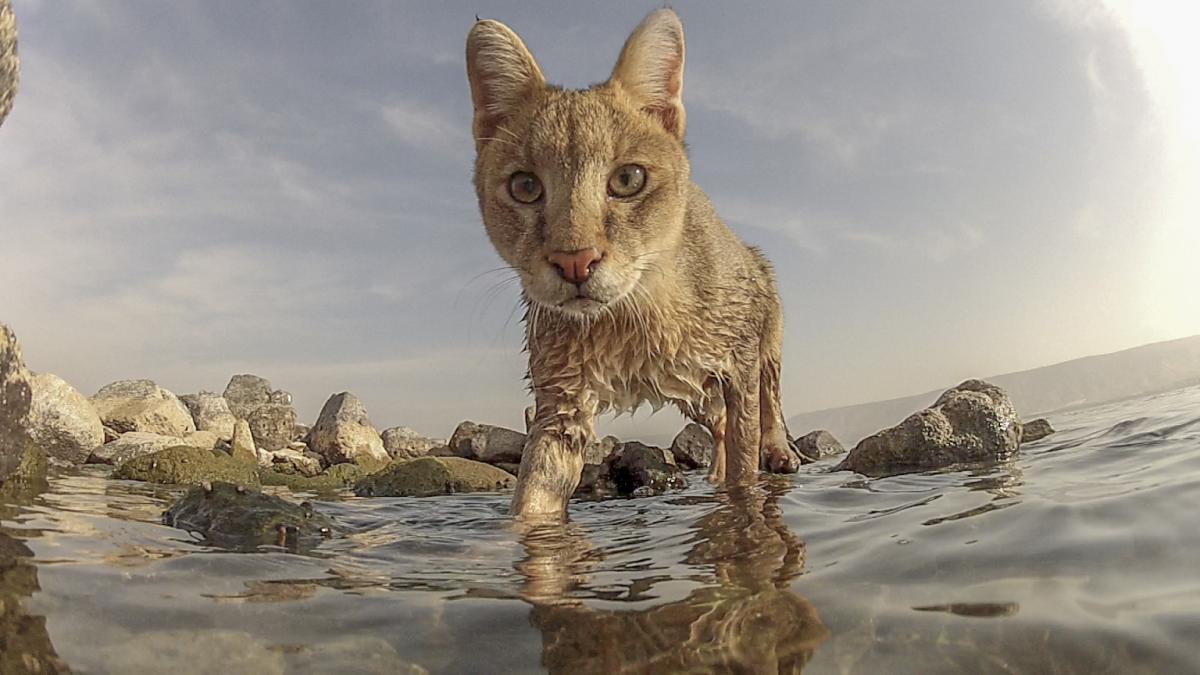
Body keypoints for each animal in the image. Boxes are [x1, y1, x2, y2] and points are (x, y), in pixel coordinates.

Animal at [465, 9, 796, 514]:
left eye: (627, 179)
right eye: (525, 186)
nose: (575, 261)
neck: (632, 317)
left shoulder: (739, 361)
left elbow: (748, 458)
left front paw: (746, 495)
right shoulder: (561, 404)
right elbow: (532, 501)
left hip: (764, 329)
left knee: (770, 399)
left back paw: (777, 450)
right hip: (695, 392)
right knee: (718, 425)